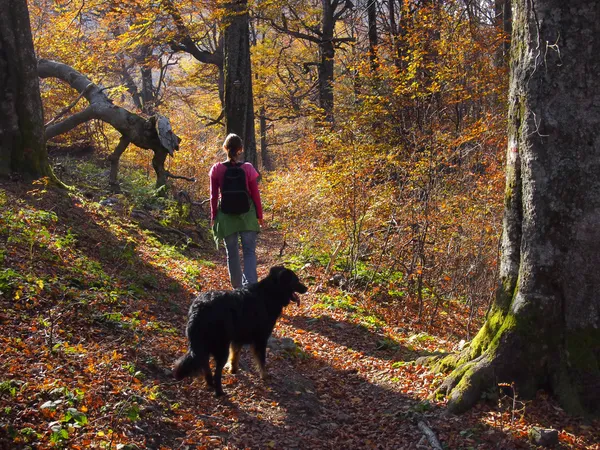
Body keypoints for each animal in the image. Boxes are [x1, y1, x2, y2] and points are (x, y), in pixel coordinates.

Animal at [172, 266, 304, 396]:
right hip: (220, 347)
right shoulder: (260, 339)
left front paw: (233, 369)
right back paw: (219, 391)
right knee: (216, 372)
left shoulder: (238, 337)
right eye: (296, 280)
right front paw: (265, 376)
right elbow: (261, 360)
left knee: (205, 364)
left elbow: (235, 354)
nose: (306, 288)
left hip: (205, 345)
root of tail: (199, 308)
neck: (270, 293)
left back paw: (210, 383)